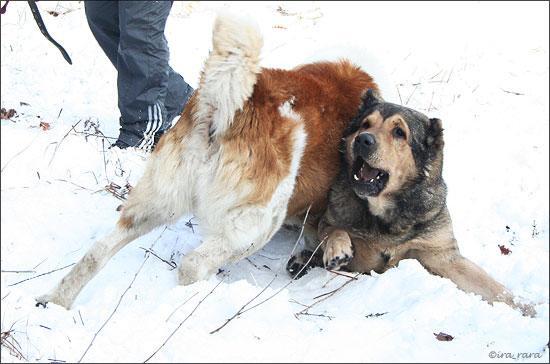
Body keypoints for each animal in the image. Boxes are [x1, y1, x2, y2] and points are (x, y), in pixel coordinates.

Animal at [35, 14, 380, 310]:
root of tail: (230, 109)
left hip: (156, 203)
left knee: (98, 251)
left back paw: (55, 300)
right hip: (255, 225)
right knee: (192, 264)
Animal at [292, 90, 536, 316]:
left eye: (399, 132)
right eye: (365, 124)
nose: (363, 139)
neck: (385, 212)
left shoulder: (440, 253)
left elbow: (488, 284)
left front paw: (525, 306)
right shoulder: (334, 223)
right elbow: (334, 230)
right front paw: (337, 250)